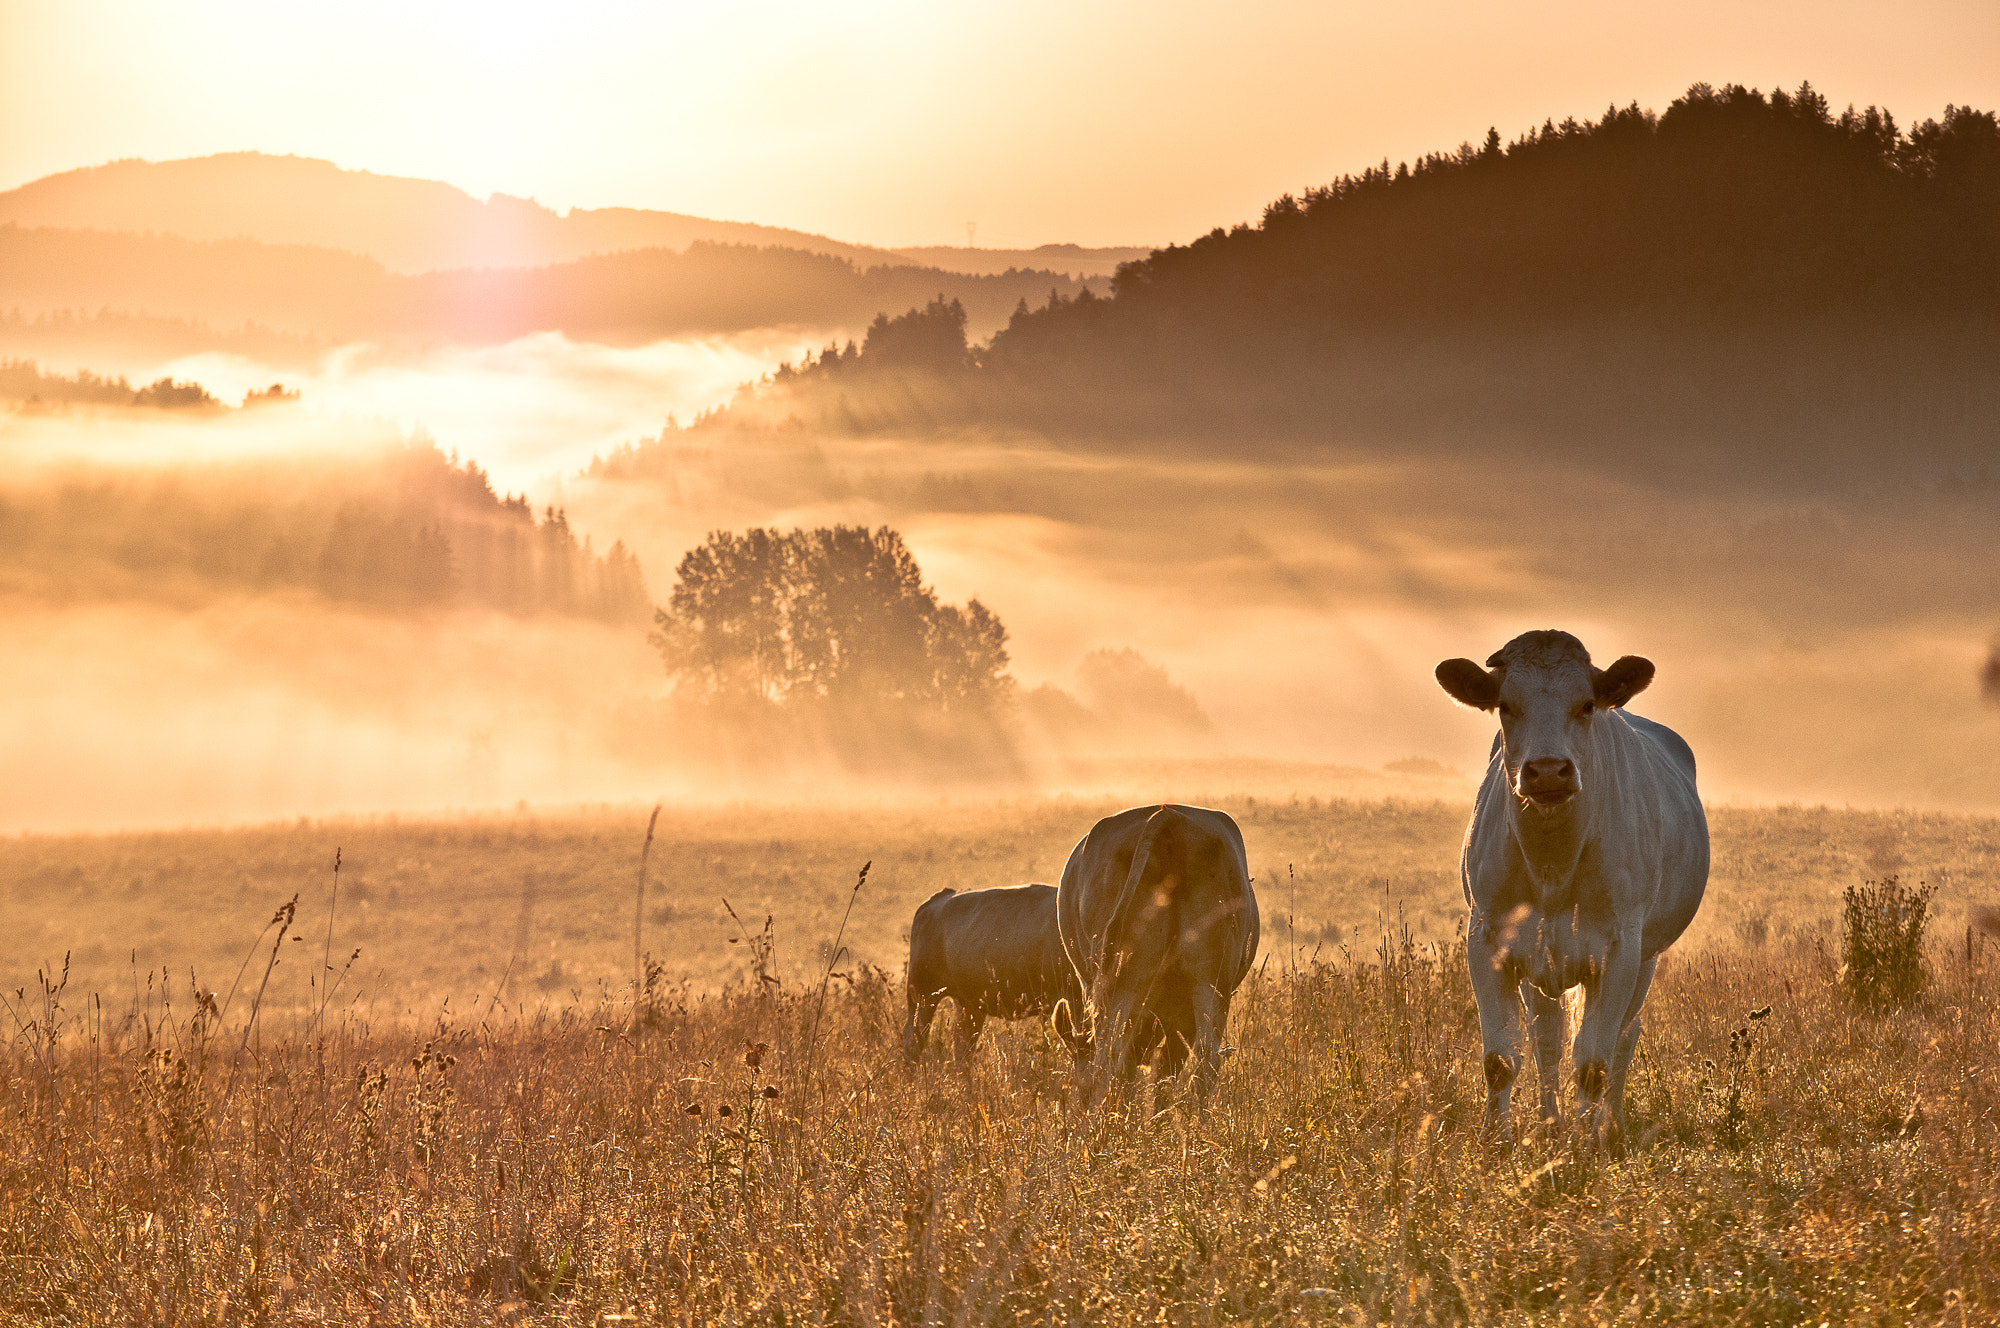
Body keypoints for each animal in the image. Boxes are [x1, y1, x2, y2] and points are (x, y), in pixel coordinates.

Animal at [908, 888, 1088, 1064]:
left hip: (969, 1006)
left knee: (962, 1048)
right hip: (923, 996)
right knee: (914, 1039)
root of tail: (937, 900)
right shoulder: (1073, 997)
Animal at [1056, 804, 1256, 1104]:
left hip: (1124, 982)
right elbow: (1167, 1068)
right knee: (1206, 1060)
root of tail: (1166, 813)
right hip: (1212, 981)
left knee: (1112, 1055)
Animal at [1432, 628, 1712, 1144]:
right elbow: (1502, 1058)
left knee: (1625, 1036)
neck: (1552, 864)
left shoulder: (1619, 950)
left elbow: (1594, 1062)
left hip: (1646, 955)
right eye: (1506, 706)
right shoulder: (1488, 942)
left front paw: (1587, 1145)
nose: (1546, 770)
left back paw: (1611, 1124)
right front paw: (1497, 1142)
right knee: (1548, 1036)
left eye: (1586, 705)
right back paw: (1550, 1122)